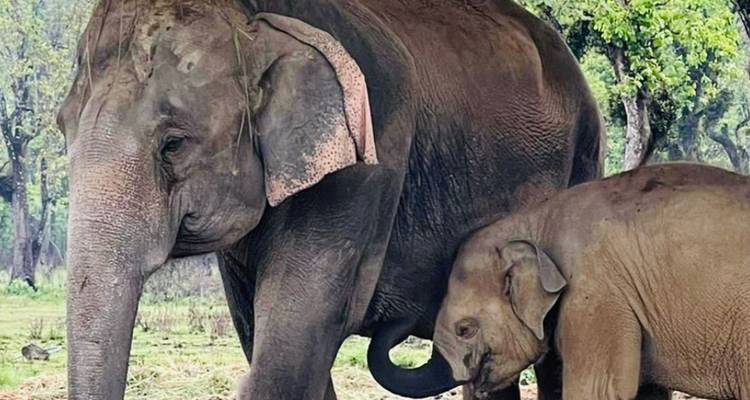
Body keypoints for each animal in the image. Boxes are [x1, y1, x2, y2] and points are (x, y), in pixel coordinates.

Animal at [57, 0, 605, 399]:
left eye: (173, 144)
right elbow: (265, 336)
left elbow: (289, 350)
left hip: (585, 153)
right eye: (62, 129)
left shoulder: (365, 166)